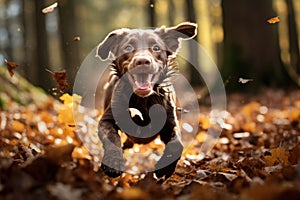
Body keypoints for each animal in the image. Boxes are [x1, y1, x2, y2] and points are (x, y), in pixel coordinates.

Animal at [97, 22, 198, 181]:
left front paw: (164, 169)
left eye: (156, 47)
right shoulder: (106, 120)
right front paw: (113, 163)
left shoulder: (170, 123)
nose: (142, 61)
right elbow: (112, 139)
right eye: (128, 47)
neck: (143, 101)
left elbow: (177, 145)